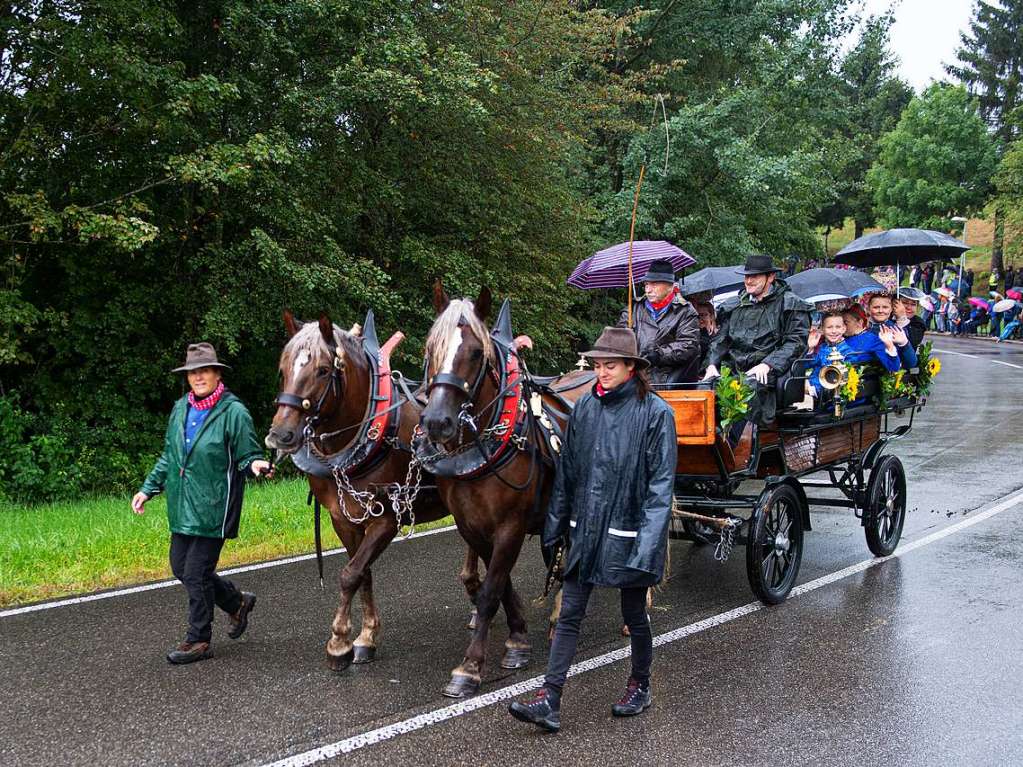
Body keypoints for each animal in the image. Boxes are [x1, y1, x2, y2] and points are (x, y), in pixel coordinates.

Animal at [265, 308, 458, 670]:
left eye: (323, 370)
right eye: (282, 369)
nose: (280, 435)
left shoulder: (386, 519)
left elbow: (350, 574)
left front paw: (339, 642)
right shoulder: (343, 519)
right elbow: (363, 572)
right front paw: (366, 637)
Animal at [417, 284, 593, 703]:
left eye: (475, 352)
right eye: (430, 347)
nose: (437, 421)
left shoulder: (511, 525)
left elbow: (490, 590)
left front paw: (469, 668)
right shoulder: (473, 526)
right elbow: (499, 584)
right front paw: (517, 641)